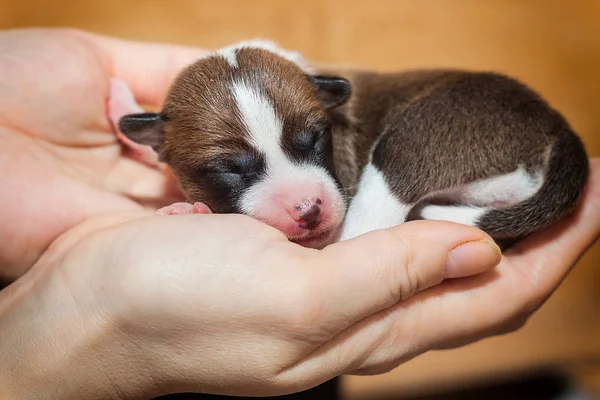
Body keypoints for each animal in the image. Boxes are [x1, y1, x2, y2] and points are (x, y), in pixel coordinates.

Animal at [109, 38, 592, 250]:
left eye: (316, 139)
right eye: (231, 169)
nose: (309, 210)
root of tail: (557, 126)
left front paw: (189, 210)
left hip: (421, 135)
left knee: (370, 219)